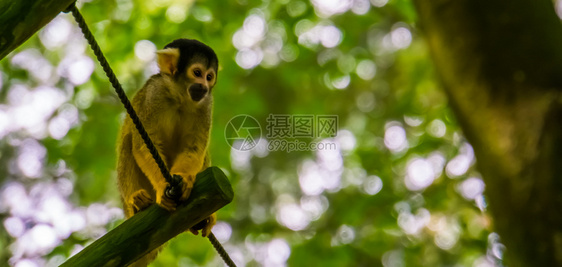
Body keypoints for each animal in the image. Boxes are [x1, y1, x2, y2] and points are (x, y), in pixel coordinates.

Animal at [116, 38, 217, 266]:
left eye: (209, 77)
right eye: (197, 73)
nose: (204, 86)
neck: (179, 96)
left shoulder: (206, 104)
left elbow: (195, 148)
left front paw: (185, 179)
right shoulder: (155, 93)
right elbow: (143, 145)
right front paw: (164, 186)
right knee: (128, 140)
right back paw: (137, 202)